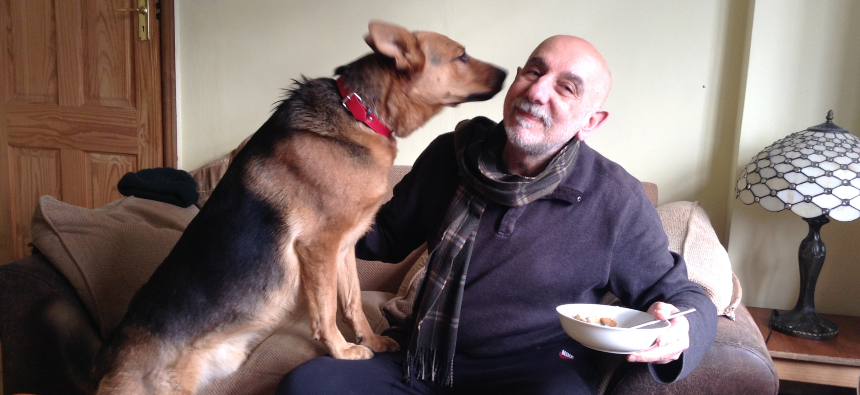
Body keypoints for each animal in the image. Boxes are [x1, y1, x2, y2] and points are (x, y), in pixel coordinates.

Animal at [52, 21, 504, 395]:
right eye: (462, 56)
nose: (508, 72)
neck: (358, 111)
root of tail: (105, 365)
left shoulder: (344, 248)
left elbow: (352, 303)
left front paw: (371, 341)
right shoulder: (319, 247)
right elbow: (326, 311)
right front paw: (341, 351)